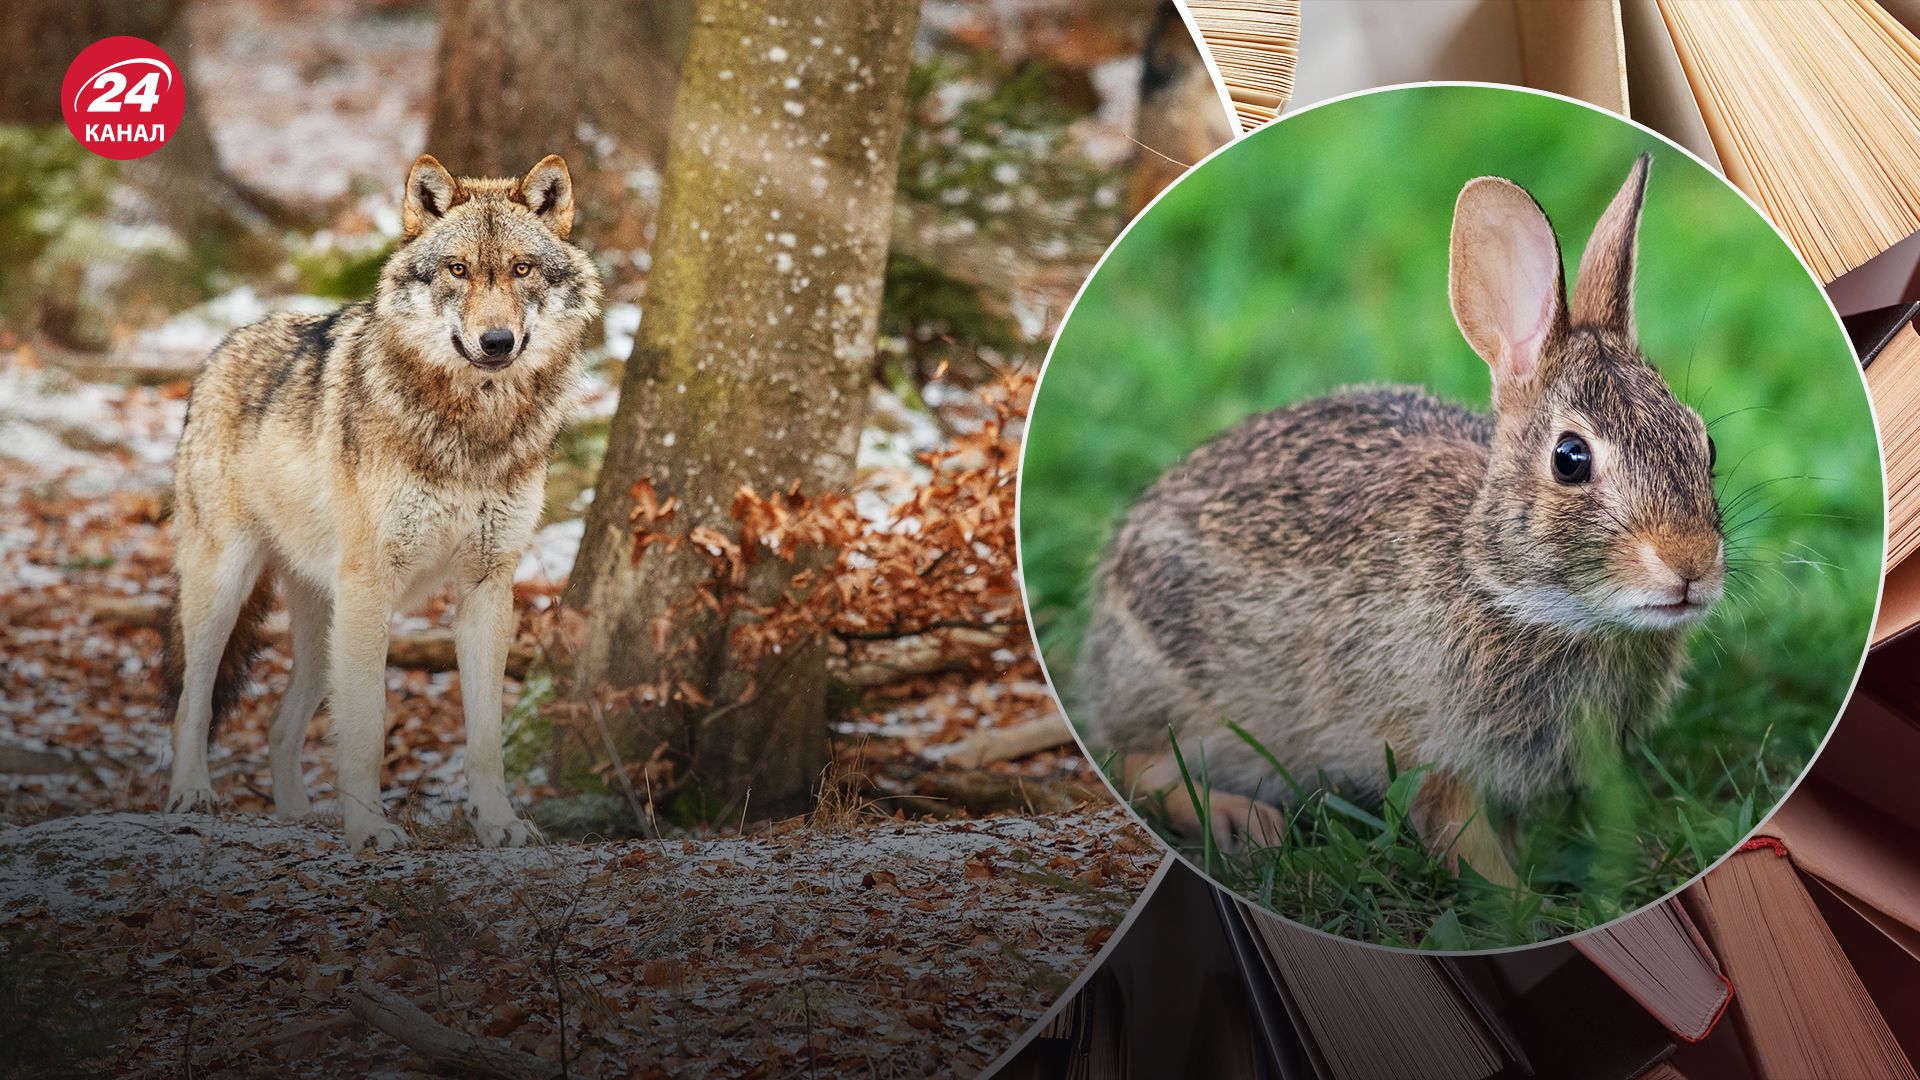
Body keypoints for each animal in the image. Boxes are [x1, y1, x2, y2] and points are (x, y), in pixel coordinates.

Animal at [164, 155, 602, 845]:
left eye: (521, 269)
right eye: (458, 269)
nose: (497, 341)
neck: (472, 431)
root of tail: (220, 349)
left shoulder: (487, 587)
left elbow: (485, 740)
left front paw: (498, 824)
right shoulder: (372, 585)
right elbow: (368, 728)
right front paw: (371, 829)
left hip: (325, 627)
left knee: (279, 725)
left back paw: (300, 815)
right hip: (229, 589)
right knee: (194, 700)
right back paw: (192, 794)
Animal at [1082, 157, 1728, 883]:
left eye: (1705, 445)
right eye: (1570, 459)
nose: (1691, 565)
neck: (1509, 589)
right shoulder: (1432, 751)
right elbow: (1462, 839)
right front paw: (1519, 901)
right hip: (1171, 689)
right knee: (1136, 763)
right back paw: (1239, 820)